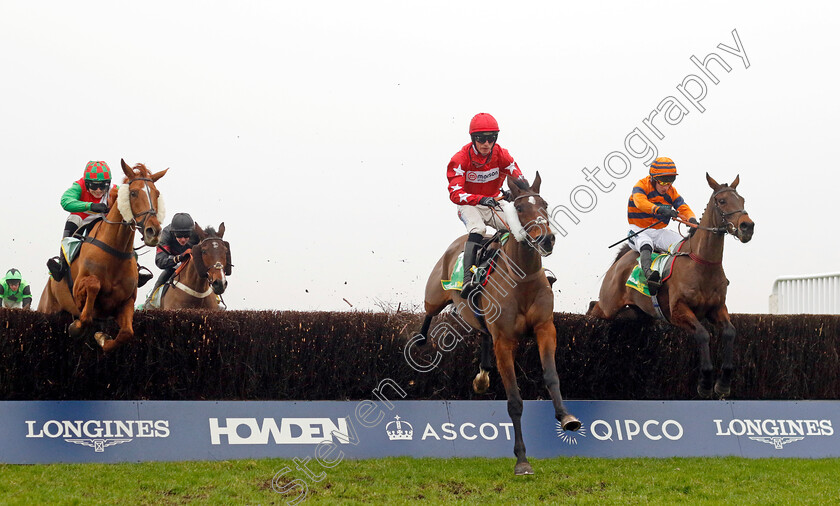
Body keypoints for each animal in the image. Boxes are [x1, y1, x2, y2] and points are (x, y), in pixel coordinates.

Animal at [39, 160, 169, 354]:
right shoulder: (79, 289)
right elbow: (91, 291)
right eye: (133, 193)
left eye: (157, 193)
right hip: (47, 307)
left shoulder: (126, 302)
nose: (153, 231)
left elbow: (126, 333)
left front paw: (102, 338)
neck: (115, 253)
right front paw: (76, 327)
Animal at [418, 173, 576, 474]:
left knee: (482, 333)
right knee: (429, 312)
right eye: (521, 208)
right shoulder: (505, 341)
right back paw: (420, 341)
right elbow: (514, 400)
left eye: (545, 205)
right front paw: (522, 460)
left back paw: (482, 374)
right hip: (434, 295)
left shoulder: (545, 328)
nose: (546, 239)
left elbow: (552, 376)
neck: (521, 278)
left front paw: (566, 417)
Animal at [588, 174, 756, 400]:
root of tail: (621, 261)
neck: (701, 264)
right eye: (722, 201)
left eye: (742, 200)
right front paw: (705, 383)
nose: (747, 227)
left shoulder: (717, 308)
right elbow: (703, 334)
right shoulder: (678, 310)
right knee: (594, 307)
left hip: (638, 313)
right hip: (608, 305)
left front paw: (723, 384)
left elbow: (730, 332)